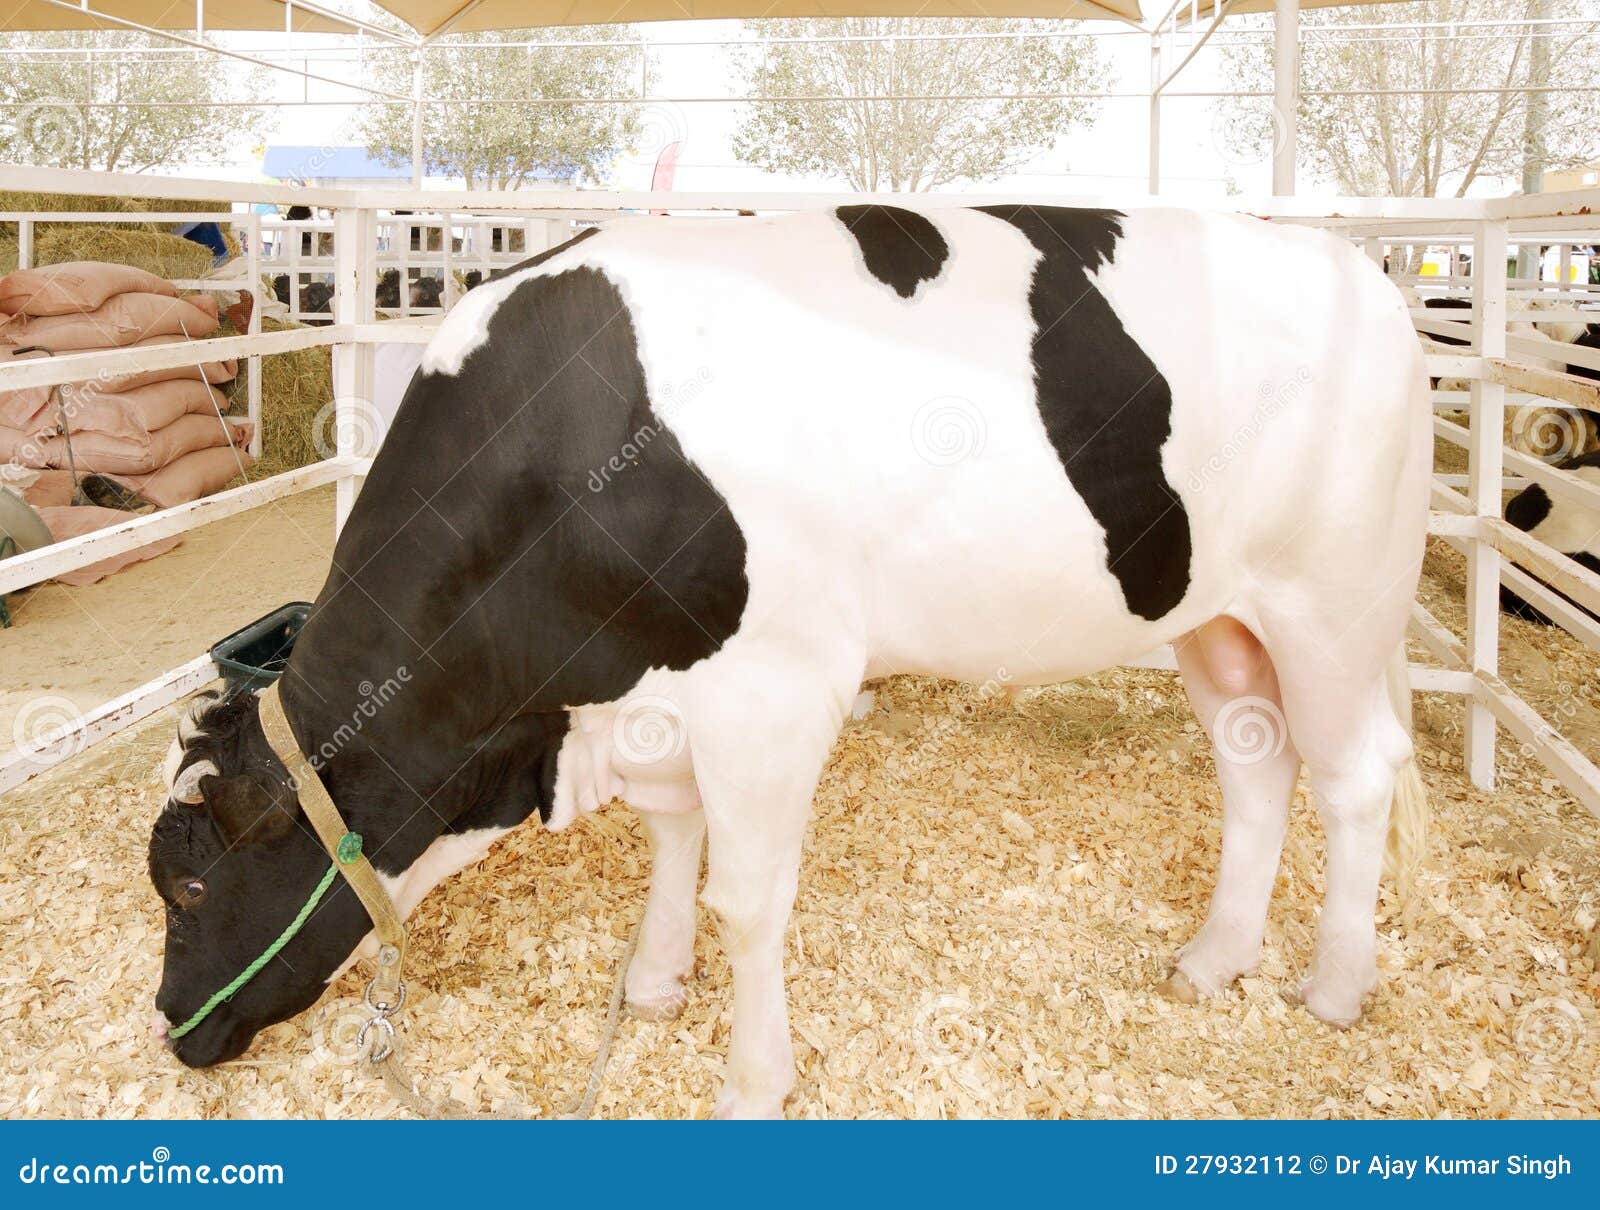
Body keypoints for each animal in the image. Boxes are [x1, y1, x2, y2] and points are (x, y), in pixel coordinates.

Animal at [147, 205, 1430, 1118]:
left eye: (192, 885)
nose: (174, 1030)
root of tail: (1361, 272)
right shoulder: (658, 690)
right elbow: (675, 838)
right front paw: (654, 984)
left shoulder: (774, 690)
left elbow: (749, 898)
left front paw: (752, 1082)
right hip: (1218, 613)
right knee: (1254, 761)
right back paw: (1214, 958)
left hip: (1334, 604)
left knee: (1354, 776)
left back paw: (1332, 988)